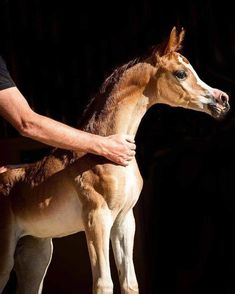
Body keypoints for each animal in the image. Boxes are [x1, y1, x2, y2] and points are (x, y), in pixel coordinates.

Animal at [0, 27, 229, 294]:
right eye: (181, 73)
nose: (222, 99)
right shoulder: (96, 219)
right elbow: (103, 283)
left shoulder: (124, 221)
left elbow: (129, 282)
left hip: (36, 252)